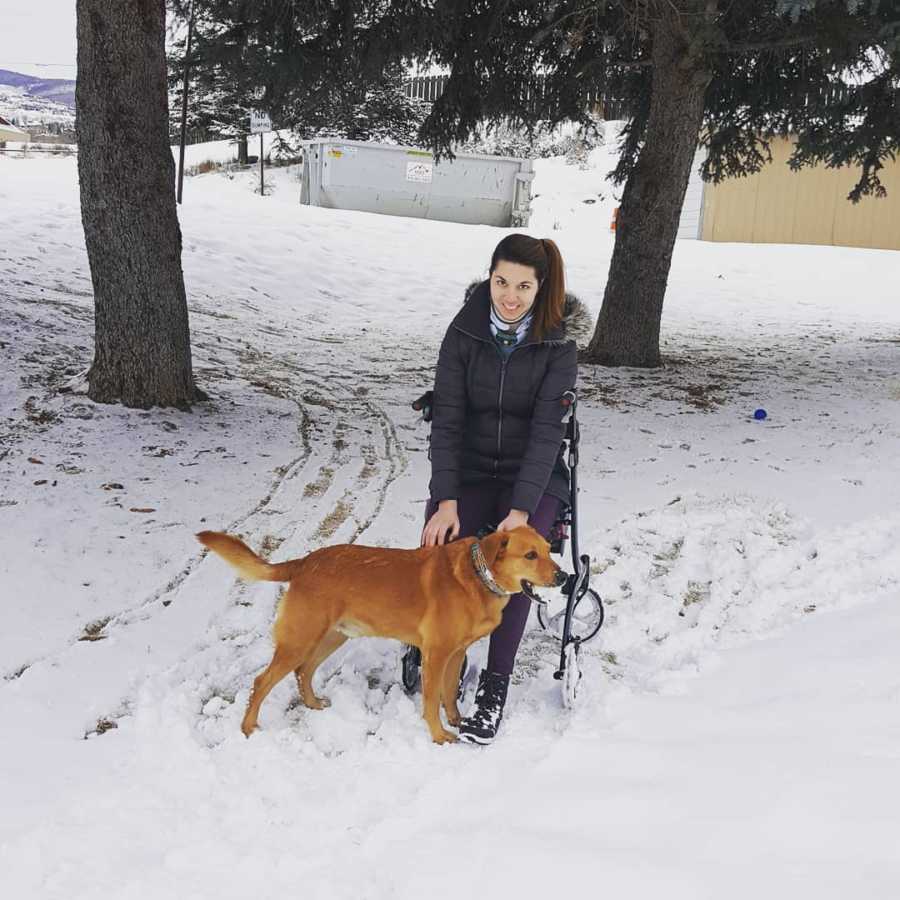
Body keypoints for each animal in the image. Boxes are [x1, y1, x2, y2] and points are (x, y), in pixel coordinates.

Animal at [198, 528, 568, 744]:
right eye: (530, 555)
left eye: (549, 549)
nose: (564, 577)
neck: (479, 576)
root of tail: (303, 562)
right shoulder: (436, 655)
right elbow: (431, 700)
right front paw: (438, 734)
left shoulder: (456, 653)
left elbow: (450, 694)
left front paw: (457, 720)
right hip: (300, 639)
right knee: (262, 681)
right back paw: (248, 729)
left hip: (333, 637)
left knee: (303, 672)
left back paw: (313, 703)